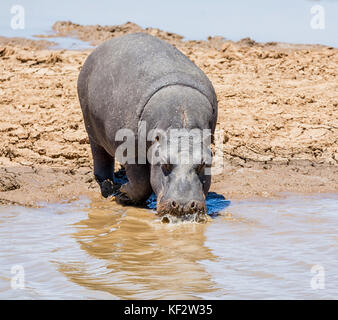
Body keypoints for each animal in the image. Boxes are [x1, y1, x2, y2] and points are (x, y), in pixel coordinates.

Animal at [77, 33, 218, 218]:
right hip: (91, 127)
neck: (182, 121)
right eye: (165, 163)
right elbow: (141, 182)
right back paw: (107, 186)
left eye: (203, 164)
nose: (184, 205)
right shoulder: (131, 150)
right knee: (100, 156)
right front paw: (122, 194)